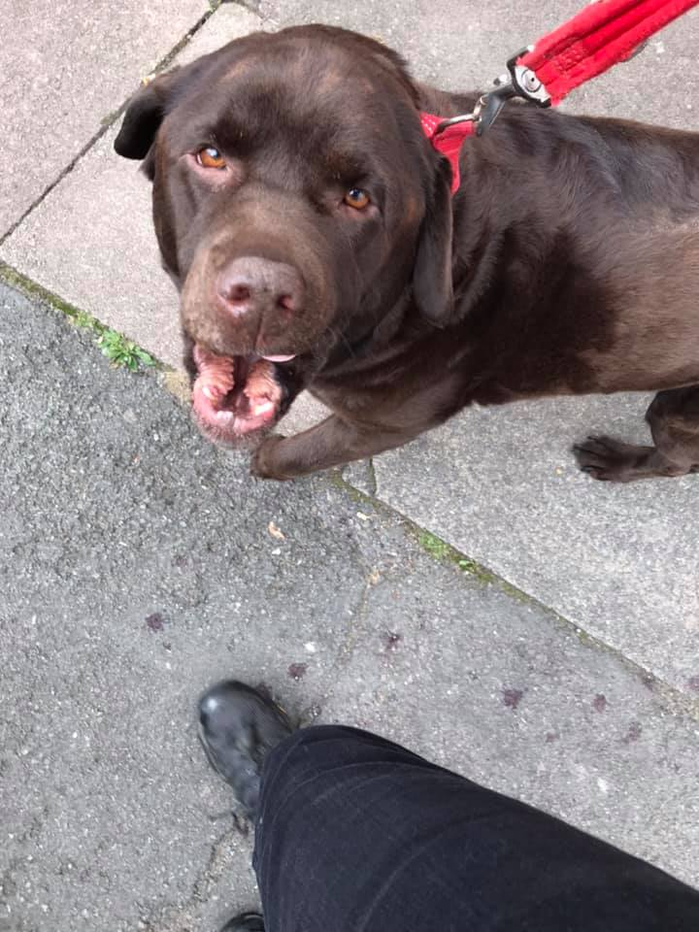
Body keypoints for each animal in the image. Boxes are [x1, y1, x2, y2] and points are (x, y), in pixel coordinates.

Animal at [115, 24, 699, 482]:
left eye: (358, 197)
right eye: (211, 156)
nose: (261, 293)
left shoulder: (384, 425)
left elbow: (308, 452)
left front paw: (270, 461)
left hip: (678, 412)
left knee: (675, 460)